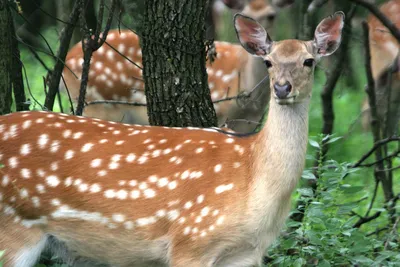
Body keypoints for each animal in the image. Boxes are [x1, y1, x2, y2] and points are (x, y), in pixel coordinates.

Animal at [0, 10, 344, 267]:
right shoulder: (192, 240)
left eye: (309, 61)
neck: (253, 180)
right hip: (13, 229)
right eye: (268, 61)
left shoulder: (245, 254)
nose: (282, 88)